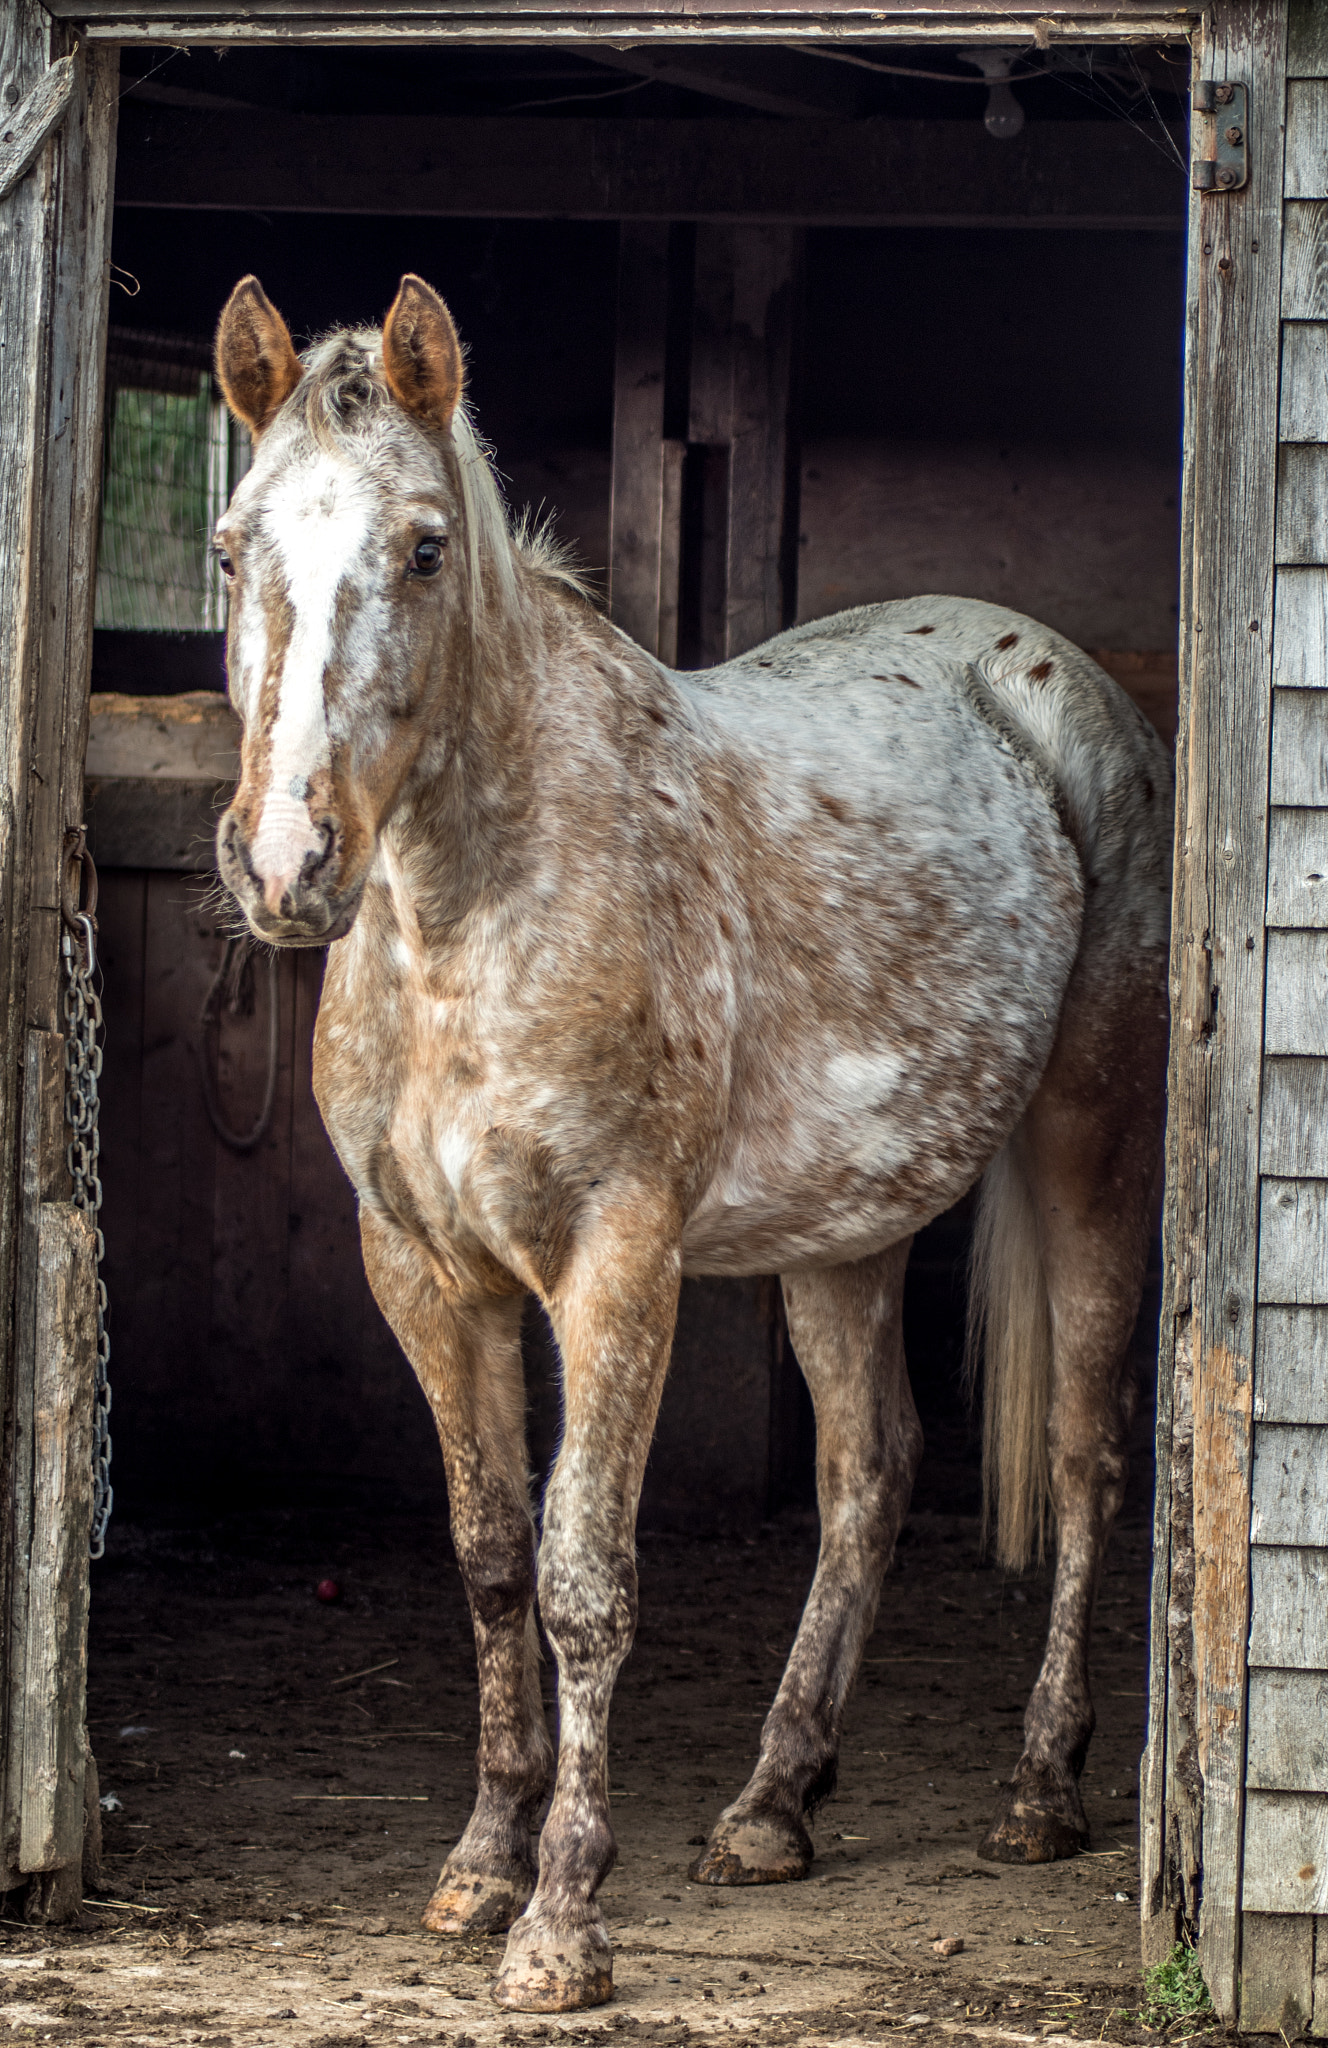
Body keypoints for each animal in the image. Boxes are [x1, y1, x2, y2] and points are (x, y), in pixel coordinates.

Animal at [209, 271, 1172, 2014]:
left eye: (427, 548)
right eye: (238, 547)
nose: (288, 862)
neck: (468, 912)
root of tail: (1053, 685)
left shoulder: (617, 1262)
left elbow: (586, 1577)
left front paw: (563, 1923)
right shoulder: (425, 1272)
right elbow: (489, 1558)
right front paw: (481, 1865)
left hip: (1094, 1144)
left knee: (1084, 1455)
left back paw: (1040, 1789)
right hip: (848, 1227)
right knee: (870, 1474)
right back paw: (774, 1802)